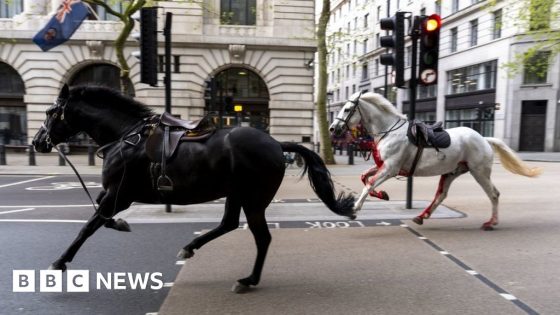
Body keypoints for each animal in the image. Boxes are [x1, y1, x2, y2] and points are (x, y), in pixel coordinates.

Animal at [32, 84, 354, 294]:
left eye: (50, 111)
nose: (37, 142)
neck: (125, 137)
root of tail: (276, 143)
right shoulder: (113, 194)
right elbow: (99, 217)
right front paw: (121, 224)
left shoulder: (119, 195)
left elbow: (89, 225)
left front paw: (59, 263)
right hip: (236, 194)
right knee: (229, 224)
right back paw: (192, 248)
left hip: (253, 199)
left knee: (261, 237)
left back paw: (248, 279)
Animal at [330, 92, 540, 231]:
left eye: (347, 109)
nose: (332, 128)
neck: (389, 131)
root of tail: (484, 139)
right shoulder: (384, 166)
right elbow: (365, 177)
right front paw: (382, 194)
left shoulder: (391, 168)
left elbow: (369, 183)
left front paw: (354, 208)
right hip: (452, 172)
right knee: (441, 195)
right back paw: (422, 216)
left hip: (479, 172)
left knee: (494, 194)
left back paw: (491, 222)